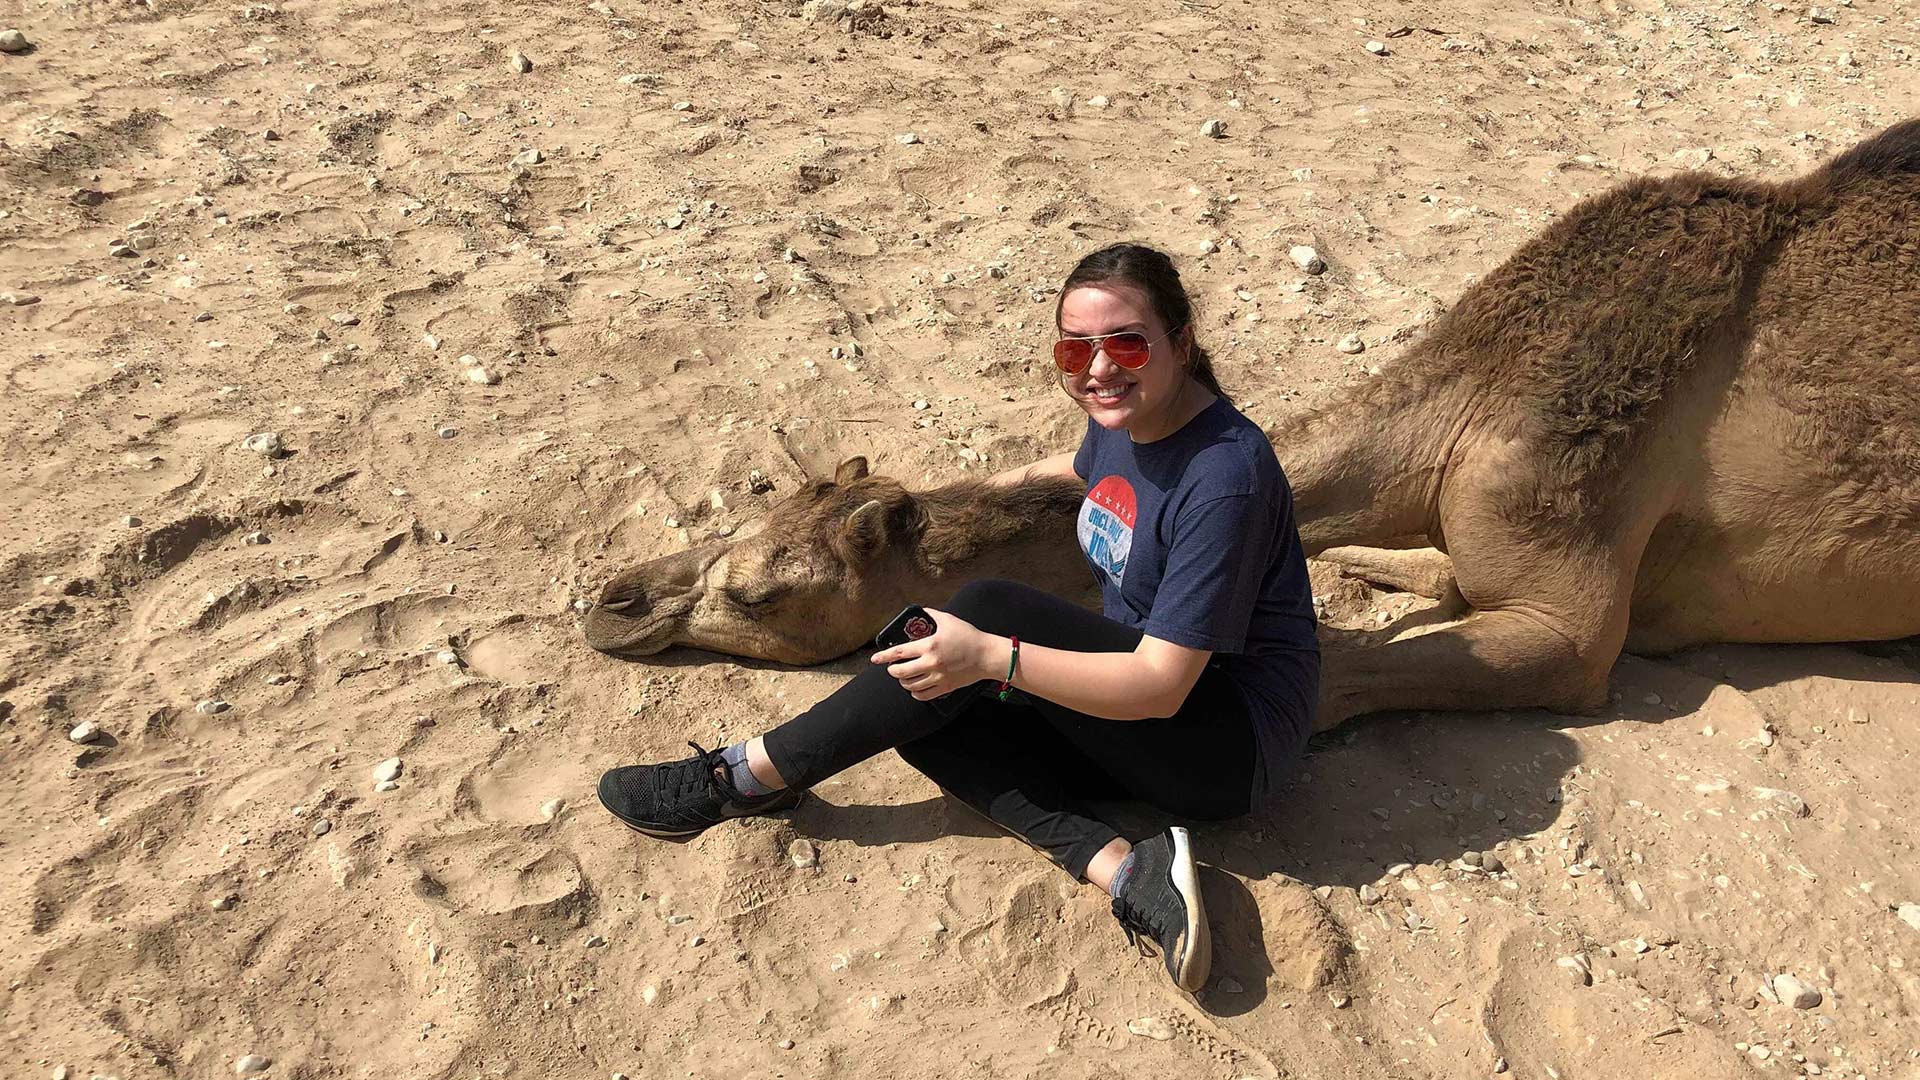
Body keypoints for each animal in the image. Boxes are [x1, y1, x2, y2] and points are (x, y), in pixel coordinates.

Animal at [583, 117, 1920, 726]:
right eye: (749, 517)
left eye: (762, 594)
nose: (611, 598)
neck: (1465, 413)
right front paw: (1386, 570)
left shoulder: (1569, 602)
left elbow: (1360, 672)